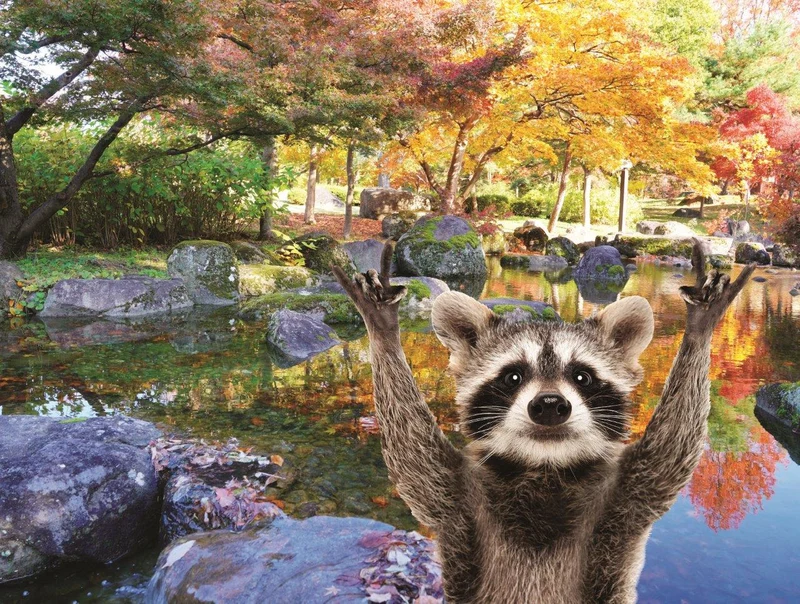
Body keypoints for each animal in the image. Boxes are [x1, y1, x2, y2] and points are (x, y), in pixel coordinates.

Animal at [332, 241, 754, 604]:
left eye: (582, 377)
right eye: (513, 376)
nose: (550, 405)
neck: (545, 465)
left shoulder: (627, 495)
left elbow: (671, 449)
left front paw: (699, 328)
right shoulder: (456, 495)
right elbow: (413, 454)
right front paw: (383, 330)